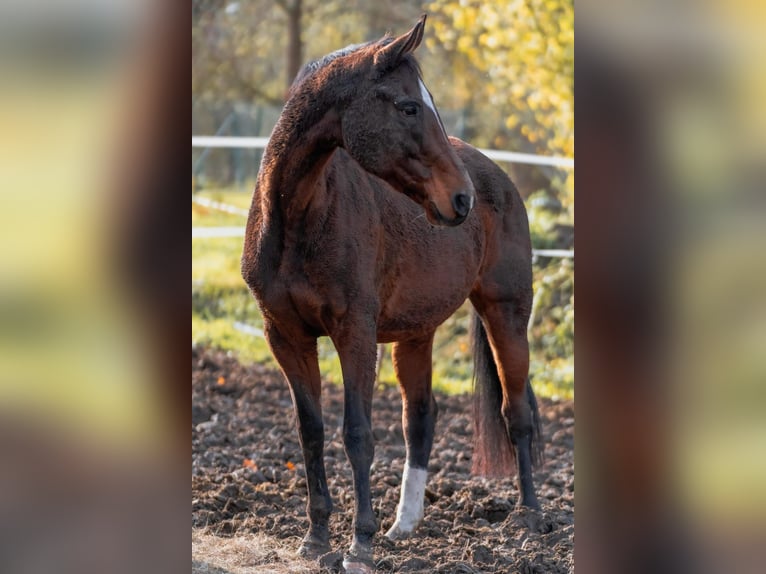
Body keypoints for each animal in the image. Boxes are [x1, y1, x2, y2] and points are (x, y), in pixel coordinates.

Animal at [241, 15, 542, 573]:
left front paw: (359, 544)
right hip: (416, 333)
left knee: (517, 415)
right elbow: (311, 432)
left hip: (506, 315)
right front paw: (316, 538)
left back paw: (530, 519)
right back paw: (404, 525)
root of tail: (498, 178)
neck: (298, 217)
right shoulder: (286, 336)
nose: (461, 199)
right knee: (420, 418)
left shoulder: (355, 334)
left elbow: (357, 433)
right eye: (407, 106)